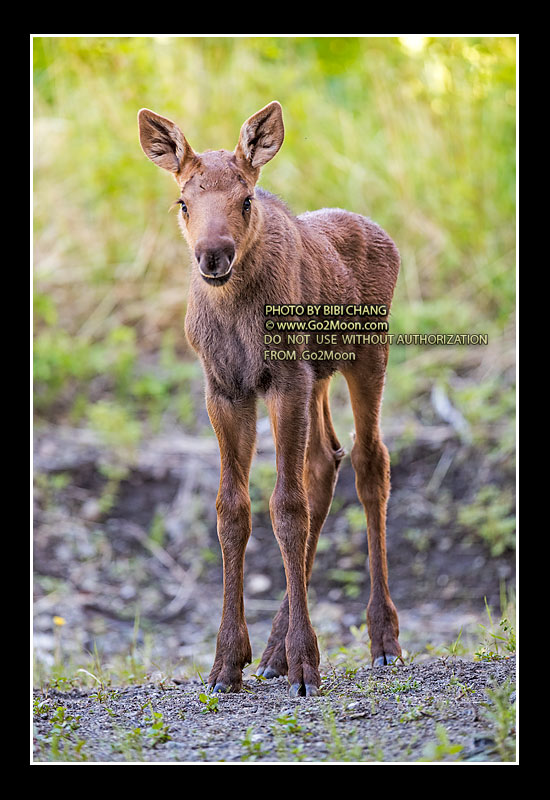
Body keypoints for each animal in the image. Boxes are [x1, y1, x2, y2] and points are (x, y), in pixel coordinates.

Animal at [138, 101, 402, 697]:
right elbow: (232, 511)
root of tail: (385, 236)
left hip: (367, 353)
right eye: (183, 201)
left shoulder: (284, 379)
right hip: (319, 374)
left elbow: (286, 506)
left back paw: (381, 639)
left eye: (246, 199)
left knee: (370, 461)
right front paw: (226, 662)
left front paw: (307, 663)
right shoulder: (225, 387)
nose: (214, 255)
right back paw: (275, 651)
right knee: (325, 458)